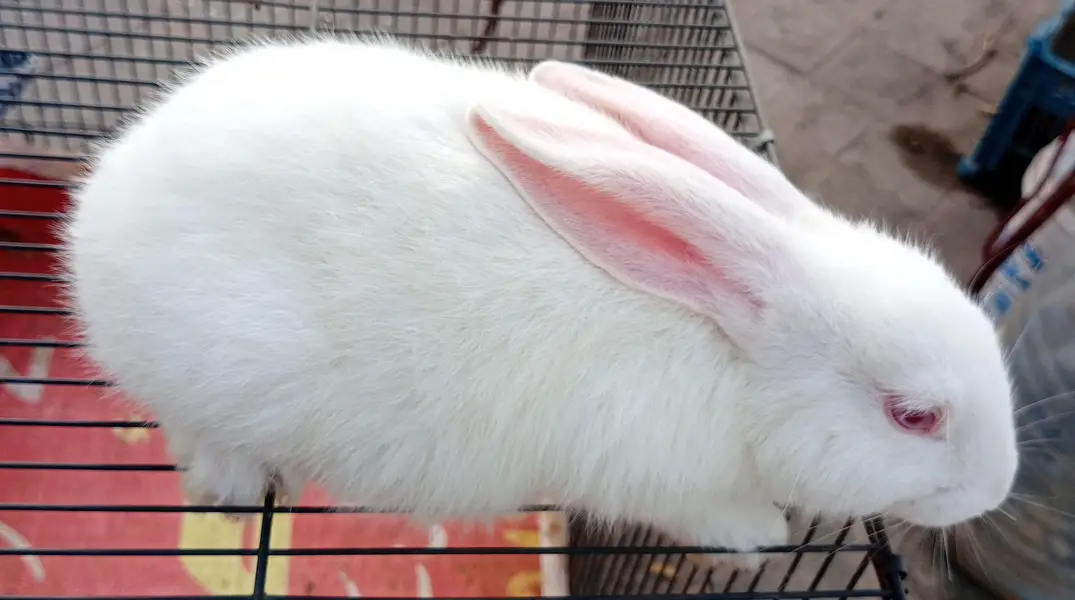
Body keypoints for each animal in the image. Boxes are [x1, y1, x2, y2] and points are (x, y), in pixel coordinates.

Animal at [62, 35, 1018, 569]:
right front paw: (758, 537)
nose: (992, 491)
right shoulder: (657, 477)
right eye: (913, 416)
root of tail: (99, 210)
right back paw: (240, 485)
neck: (733, 361)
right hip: (212, 376)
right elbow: (708, 514)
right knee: (197, 436)